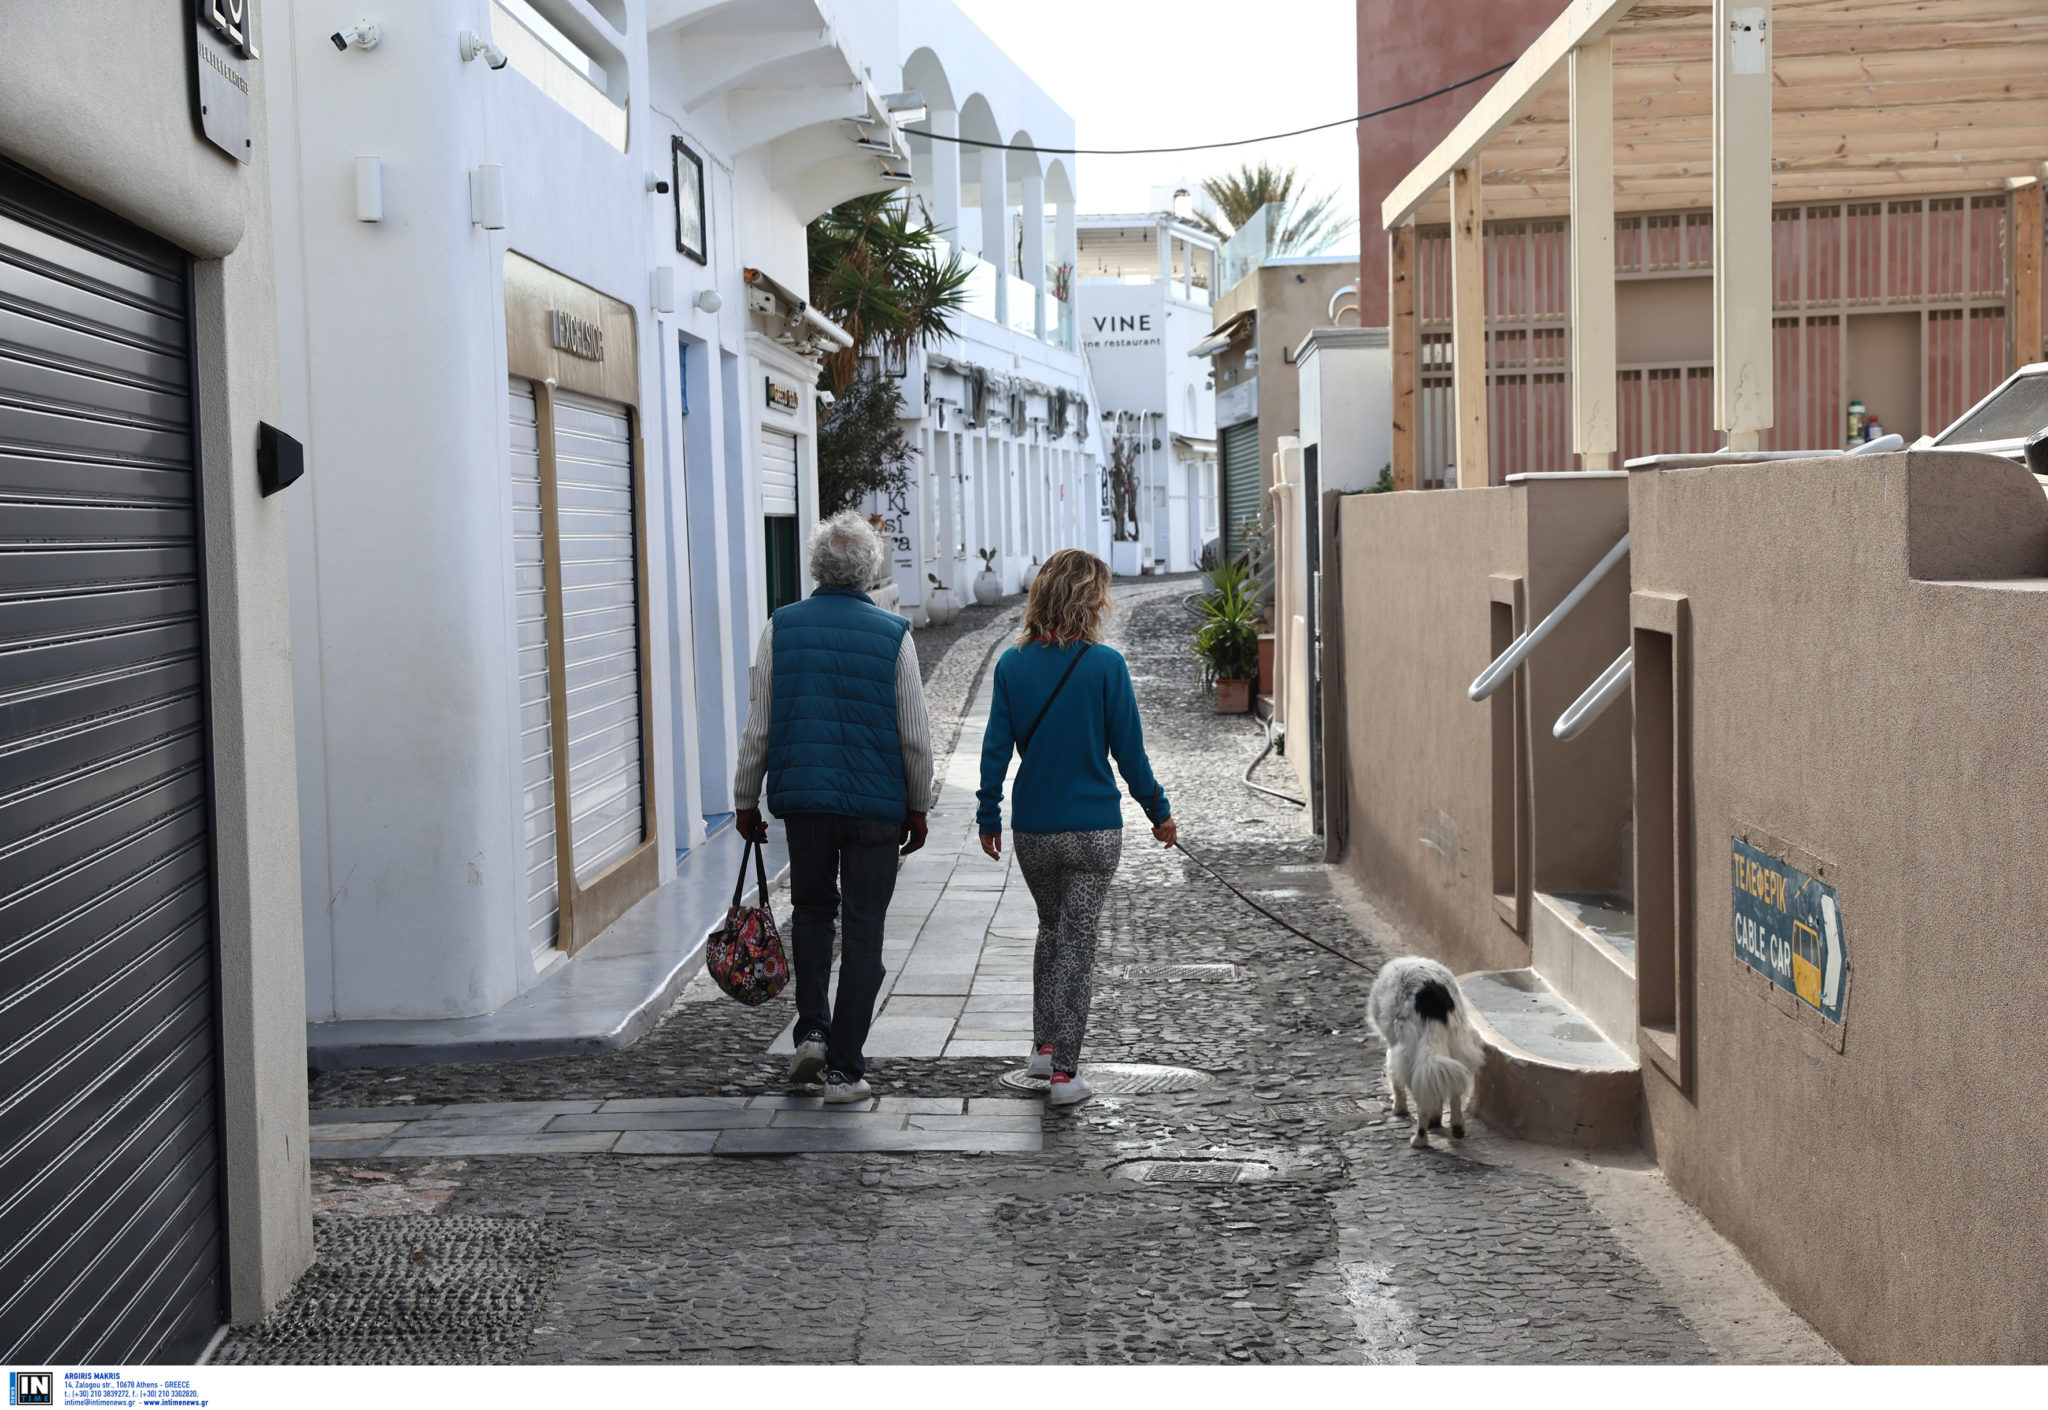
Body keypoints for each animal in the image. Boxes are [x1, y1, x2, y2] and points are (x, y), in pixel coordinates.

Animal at [1367, 956, 1485, 1149]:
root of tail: (1432, 997)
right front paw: (1436, 1119)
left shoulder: (1394, 1050)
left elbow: (1396, 1082)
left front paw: (1399, 1108)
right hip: (1456, 1046)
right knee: (1454, 1089)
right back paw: (1457, 1126)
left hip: (1410, 1053)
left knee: (1421, 1100)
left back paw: (1419, 1139)